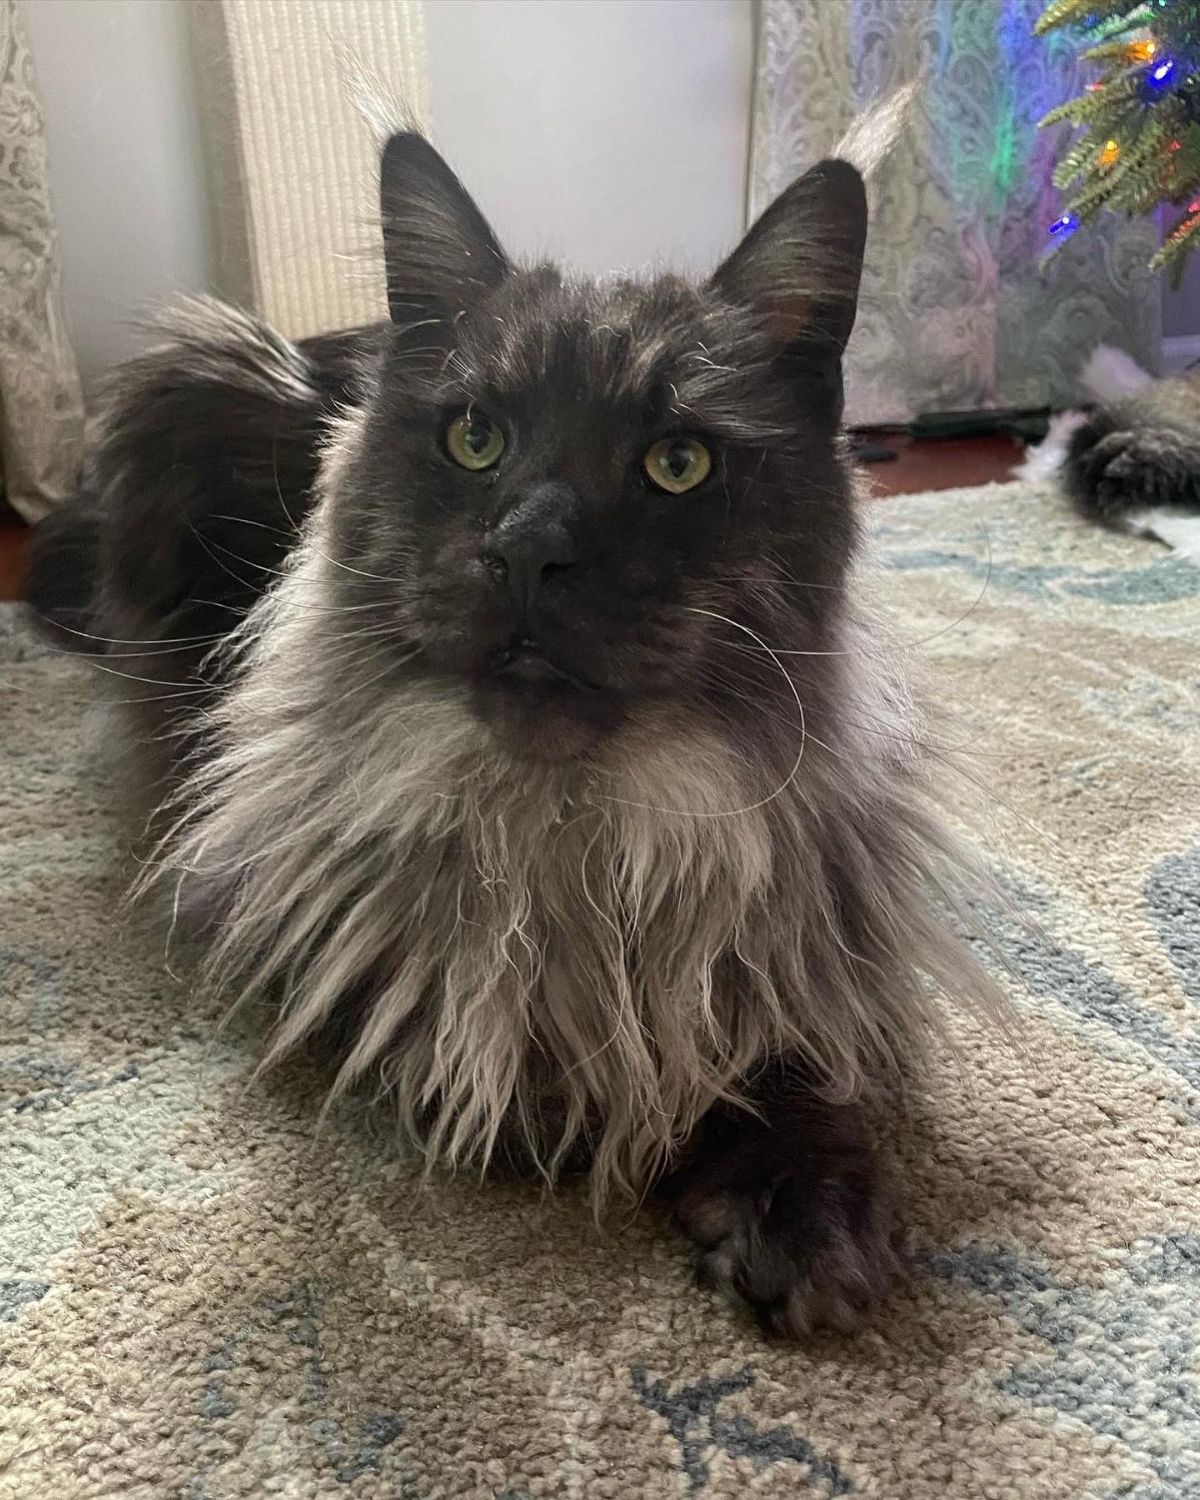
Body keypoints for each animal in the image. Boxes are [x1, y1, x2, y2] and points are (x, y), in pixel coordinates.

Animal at [30, 123, 1002, 1332]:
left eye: (676, 463)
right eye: (476, 440)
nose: (530, 547)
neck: (581, 821)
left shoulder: (799, 937)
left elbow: (782, 1054)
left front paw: (804, 1212)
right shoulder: (315, 934)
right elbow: (525, 1038)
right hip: (193, 371)